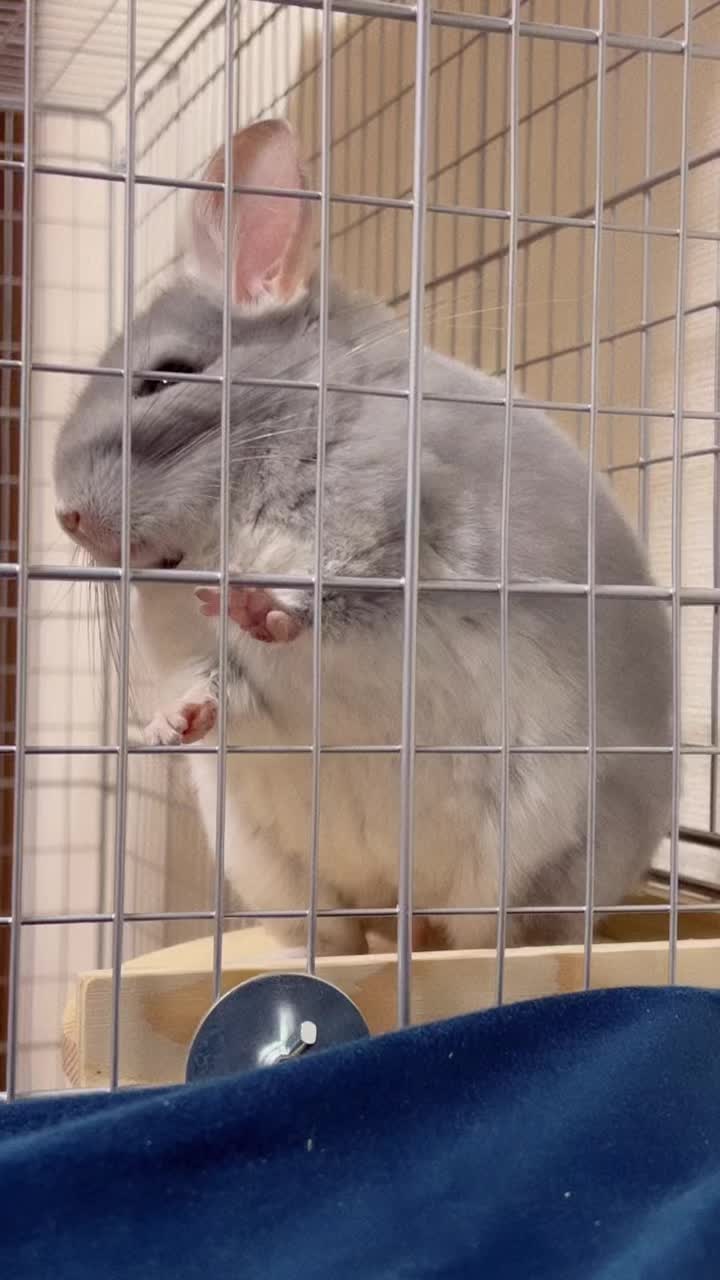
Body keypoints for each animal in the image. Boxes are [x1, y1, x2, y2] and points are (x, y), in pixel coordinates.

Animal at [53, 118, 672, 956]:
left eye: (165, 375)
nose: (65, 515)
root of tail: (396, 902)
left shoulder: (398, 530)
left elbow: (329, 597)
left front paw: (255, 604)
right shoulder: (210, 663)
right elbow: (211, 685)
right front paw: (167, 725)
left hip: (543, 864)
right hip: (279, 874)